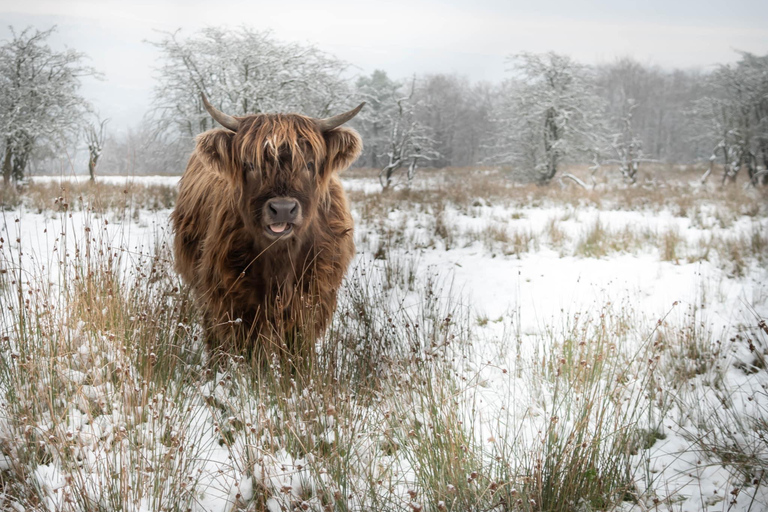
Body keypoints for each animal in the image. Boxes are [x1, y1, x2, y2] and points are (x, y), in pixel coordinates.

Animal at [172, 95, 364, 360]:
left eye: (309, 164)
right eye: (250, 165)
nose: (282, 209)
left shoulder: (312, 300)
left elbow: (298, 352)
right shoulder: (235, 300)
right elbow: (253, 352)